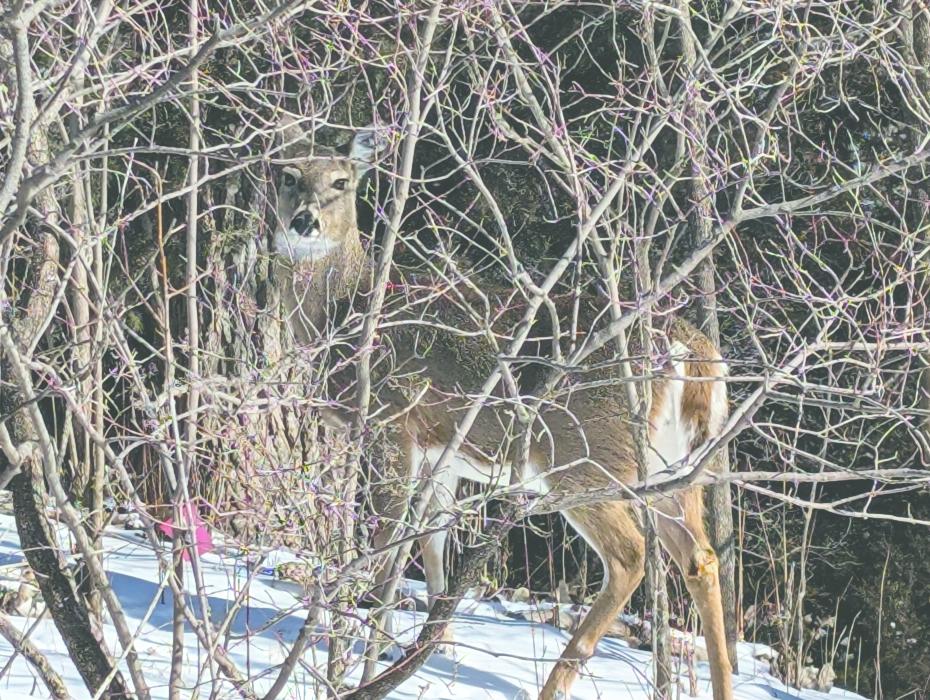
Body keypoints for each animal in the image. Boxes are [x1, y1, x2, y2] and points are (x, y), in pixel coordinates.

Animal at [270, 120, 734, 700]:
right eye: (288, 175)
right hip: (675, 468)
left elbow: (388, 537)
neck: (344, 313)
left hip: (582, 455)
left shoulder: (390, 420)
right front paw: (432, 647)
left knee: (629, 557)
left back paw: (556, 682)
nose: (304, 221)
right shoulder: (442, 449)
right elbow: (434, 541)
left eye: (341, 180)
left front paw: (369, 639)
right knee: (702, 558)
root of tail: (693, 351)